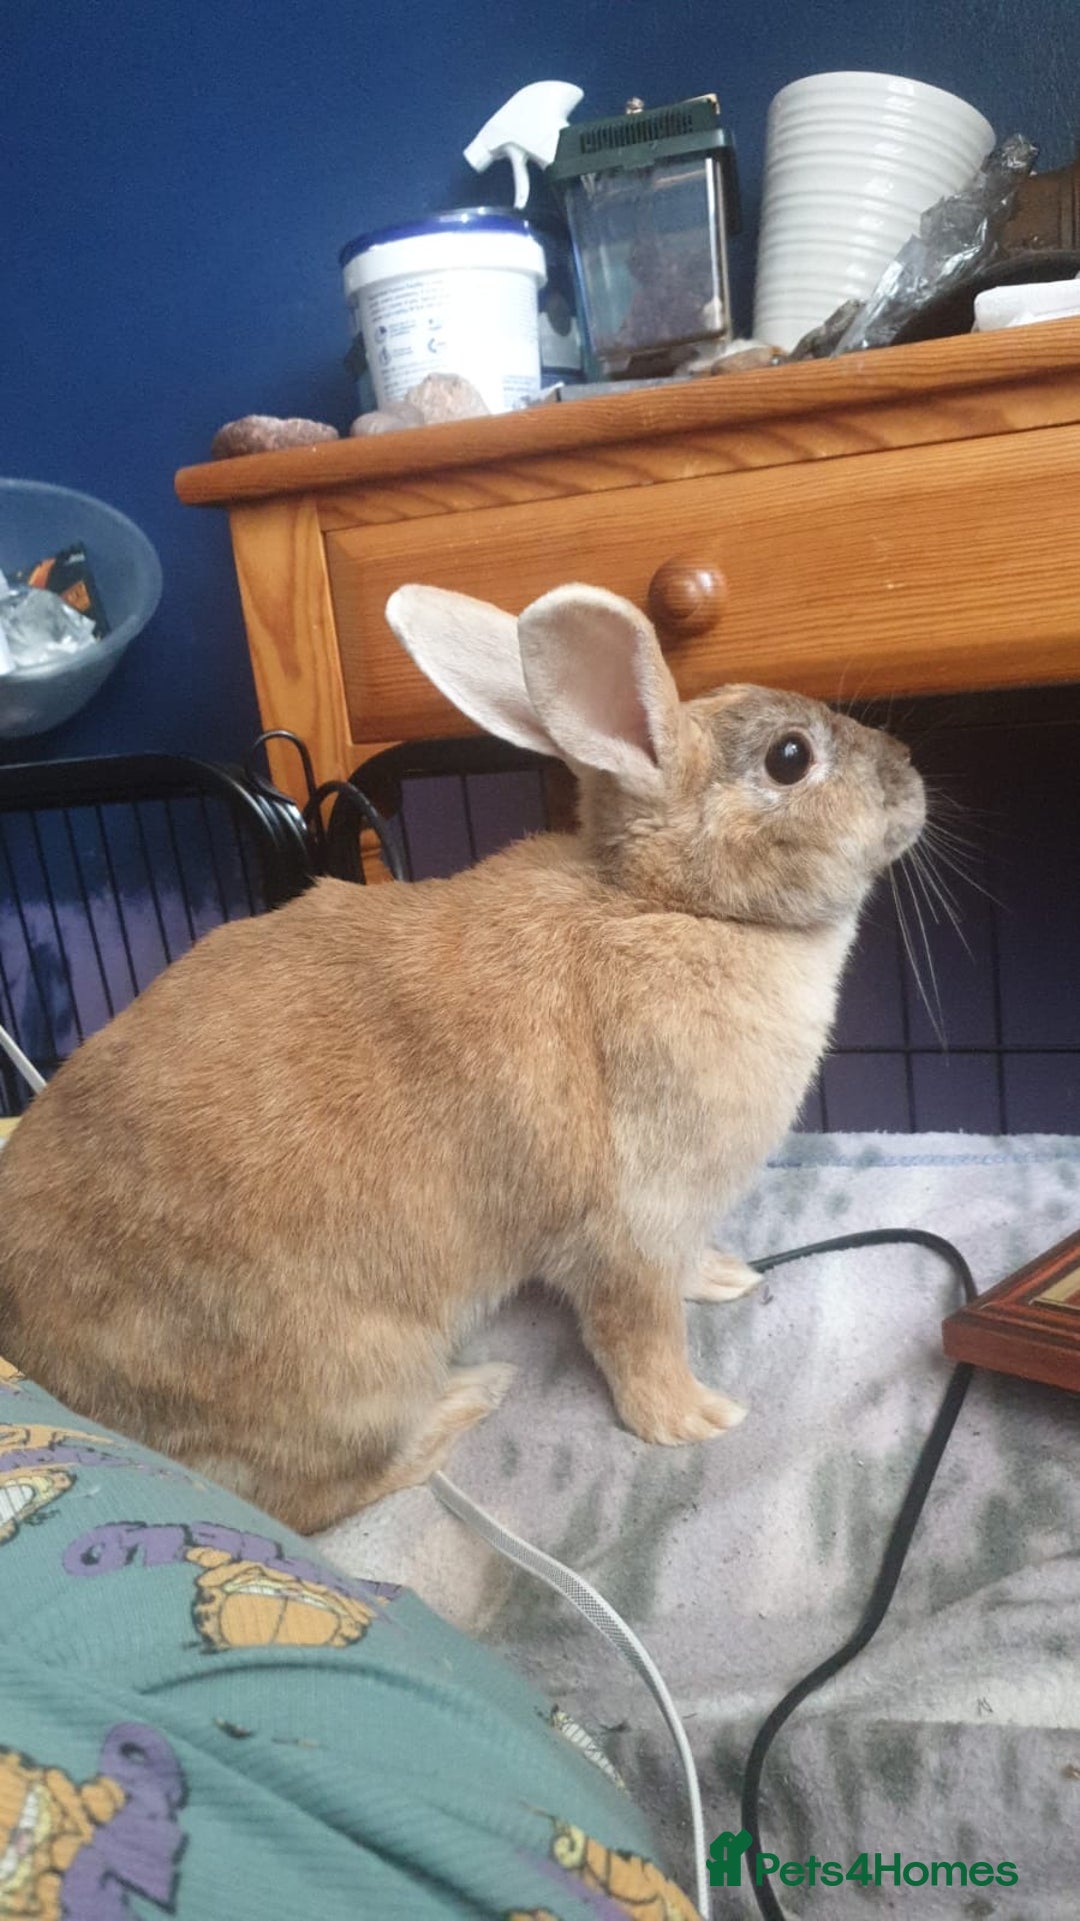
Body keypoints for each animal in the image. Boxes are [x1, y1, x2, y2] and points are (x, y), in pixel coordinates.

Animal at [0, 583, 925, 1533]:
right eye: (790, 757)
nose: (908, 768)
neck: (677, 905)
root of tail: (43, 1360)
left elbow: (684, 1273)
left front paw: (726, 1277)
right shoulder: (628, 1226)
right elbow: (638, 1333)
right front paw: (694, 1419)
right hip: (354, 1371)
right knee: (314, 1501)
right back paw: (469, 1397)